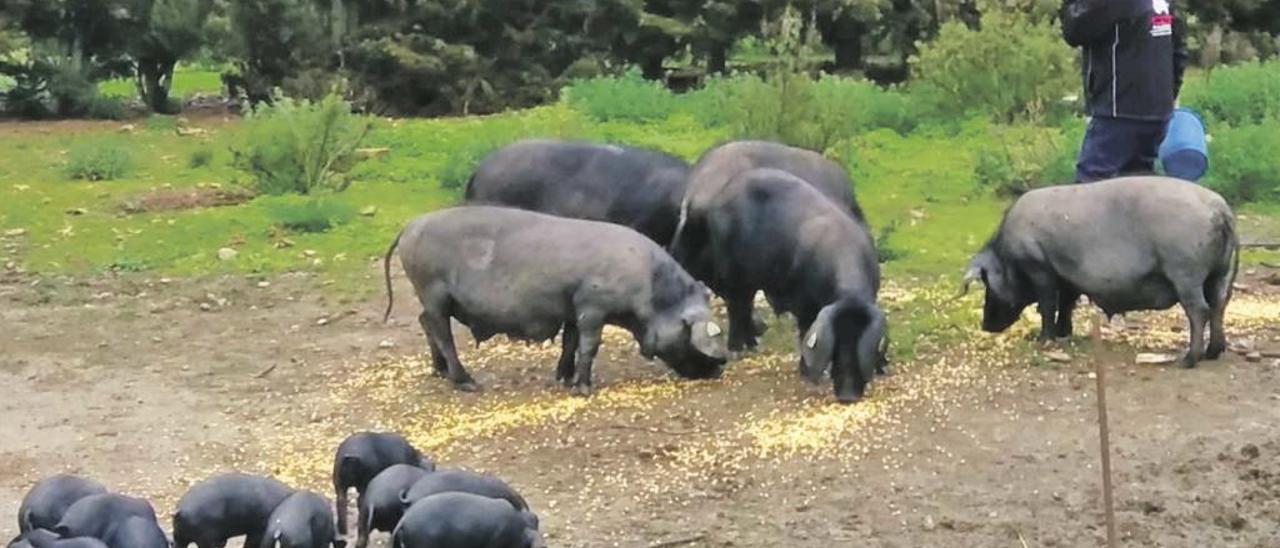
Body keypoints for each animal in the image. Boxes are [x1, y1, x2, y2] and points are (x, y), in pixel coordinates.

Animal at [378, 204, 727, 394]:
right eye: (693, 334)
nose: (719, 370)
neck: (648, 288)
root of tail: (409, 227)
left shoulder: (571, 305)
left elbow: (569, 342)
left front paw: (564, 378)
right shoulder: (592, 305)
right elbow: (589, 345)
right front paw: (584, 388)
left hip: (429, 295)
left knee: (425, 322)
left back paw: (439, 371)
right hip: (432, 288)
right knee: (440, 330)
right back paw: (467, 382)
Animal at [696, 167, 885, 402]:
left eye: (860, 345)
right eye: (835, 346)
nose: (848, 395)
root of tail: (722, 193)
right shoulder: (804, 302)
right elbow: (805, 331)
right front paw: (806, 373)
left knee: (745, 305)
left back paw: (754, 347)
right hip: (732, 271)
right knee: (736, 307)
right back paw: (737, 352)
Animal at [962, 175, 1233, 366]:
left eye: (987, 285)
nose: (985, 325)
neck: (1007, 254)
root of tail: (1220, 209)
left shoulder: (1039, 267)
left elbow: (1048, 305)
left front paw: (1043, 339)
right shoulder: (1067, 277)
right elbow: (1067, 304)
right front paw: (1064, 333)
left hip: (1185, 272)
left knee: (1199, 310)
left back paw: (1188, 360)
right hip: (1220, 272)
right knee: (1218, 304)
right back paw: (1213, 353)